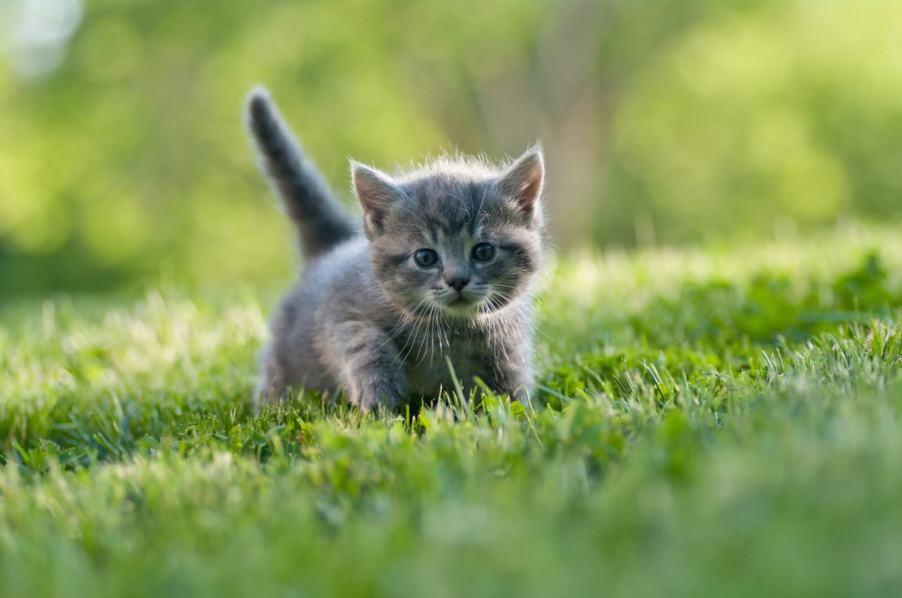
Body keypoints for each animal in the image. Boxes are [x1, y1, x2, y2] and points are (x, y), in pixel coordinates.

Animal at [244, 88, 548, 412]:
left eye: (483, 252)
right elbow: (365, 345)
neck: (450, 330)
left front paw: (516, 412)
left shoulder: (507, 342)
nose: (457, 280)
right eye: (425, 257)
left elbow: (509, 388)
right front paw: (378, 397)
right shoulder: (342, 315)